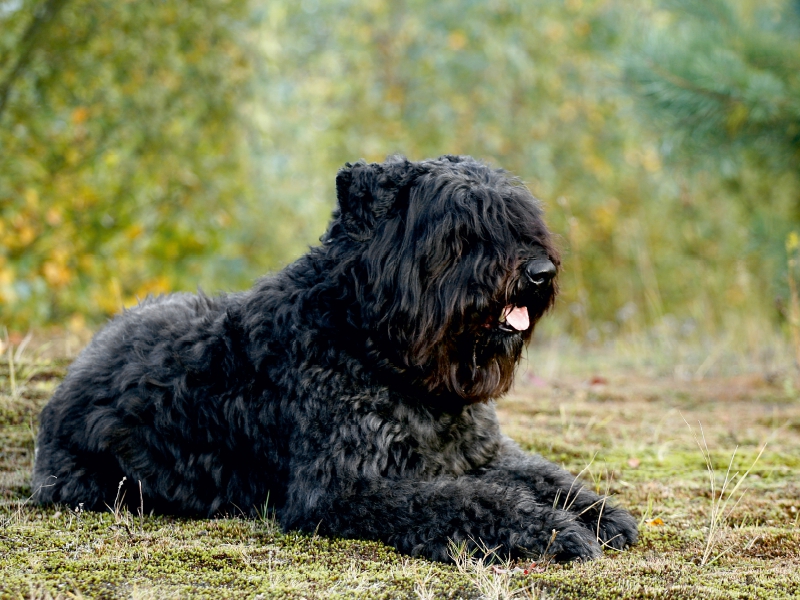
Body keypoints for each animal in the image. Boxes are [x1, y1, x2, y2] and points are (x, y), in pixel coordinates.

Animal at [34, 156, 636, 564]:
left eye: (517, 217)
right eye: (460, 231)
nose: (539, 271)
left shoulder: (480, 452)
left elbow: (544, 474)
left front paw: (602, 513)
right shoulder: (346, 490)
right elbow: (472, 502)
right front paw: (554, 532)